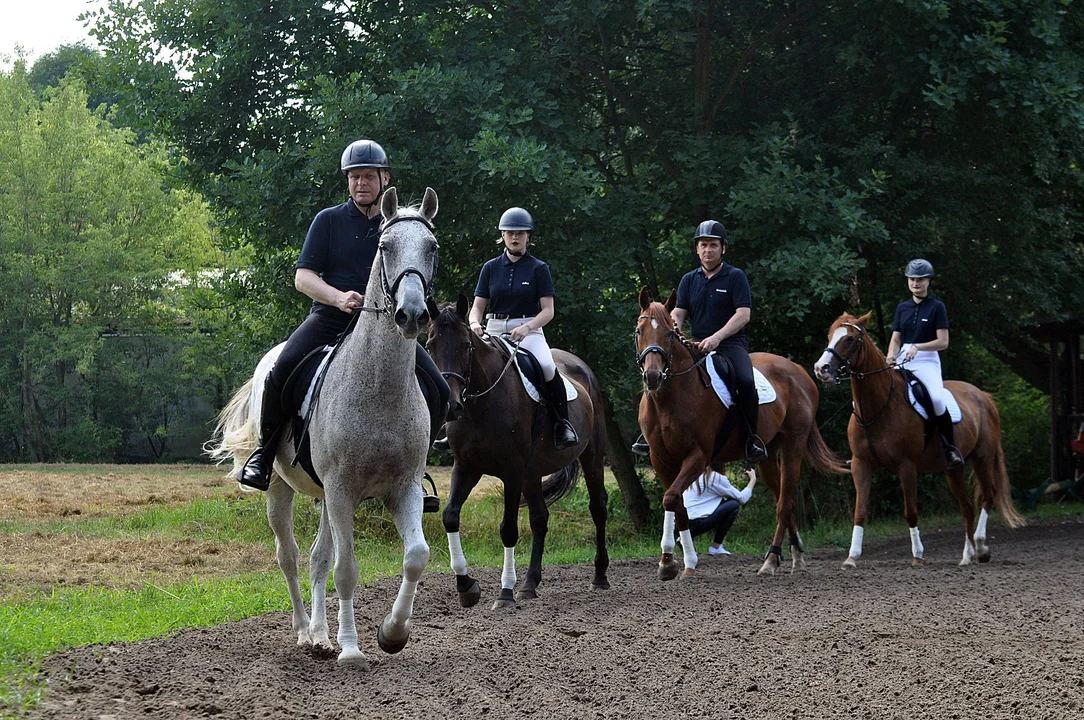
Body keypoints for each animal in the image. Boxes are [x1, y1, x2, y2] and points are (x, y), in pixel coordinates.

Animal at [207, 186, 435, 667]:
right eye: (385, 247)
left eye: (432, 247)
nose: (411, 315)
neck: (378, 387)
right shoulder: (342, 489)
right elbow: (346, 569)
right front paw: (351, 650)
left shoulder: (401, 487)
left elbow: (416, 556)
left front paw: (392, 634)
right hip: (283, 488)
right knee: (290, 556)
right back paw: (301, 631)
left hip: (326, 497)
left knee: (317, 557)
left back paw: (319, 635)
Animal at [422, 292, 611, 607]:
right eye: (429, 345)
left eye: (466, 346)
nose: (451, 406)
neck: (481, 406)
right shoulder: (467, 466)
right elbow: (450, 516)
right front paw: (466, 587)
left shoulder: (511, 471)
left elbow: (508, 528)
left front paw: (505, 593)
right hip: (532, 472)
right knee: (540, 519)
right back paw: (530, 584)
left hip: (591, 457)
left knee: (598, 507)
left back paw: (599, 577)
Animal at [633, 290, 845, 576]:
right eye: (639, 331)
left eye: (669, 333)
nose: (653, 376)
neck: (669, 399)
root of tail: (799, 372)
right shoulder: (660, 458)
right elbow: (677, 504)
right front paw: (681, 562)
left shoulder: (698, 455)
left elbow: (671, 499)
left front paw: (671, 561)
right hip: (767, 454)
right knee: (782, 498)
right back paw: (796, 555)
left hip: (794, 446)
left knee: (785, 502)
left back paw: (771, 560)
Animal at [815, 310, 1023, 568]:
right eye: (830, 336)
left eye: (850, 339)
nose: (821, 368)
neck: (877, 408)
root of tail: (983, 396)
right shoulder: (861, 465)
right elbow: (860, 511)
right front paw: (851, 558)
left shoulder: (907, 466)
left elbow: (911, 511)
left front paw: (917, 555)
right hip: (953, 469)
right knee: (967, 507)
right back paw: (966, 556)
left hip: (982, 457)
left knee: (987, 496)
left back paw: (982, 547)